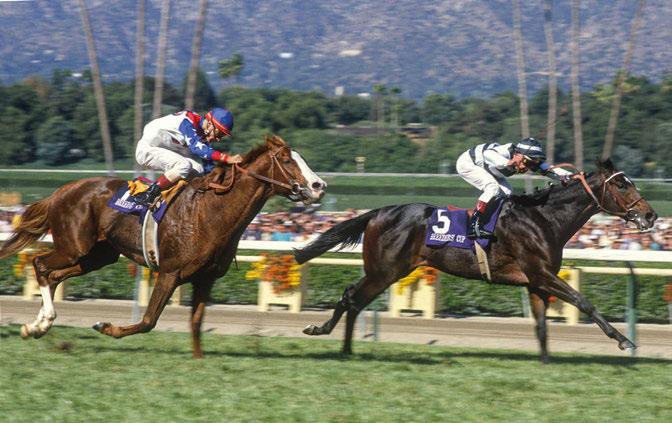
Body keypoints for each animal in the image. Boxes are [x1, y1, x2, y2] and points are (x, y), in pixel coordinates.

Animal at [0, 135, 326, 358]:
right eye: (287, 159)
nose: (319, 186)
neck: (212, 211)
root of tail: (60, 192)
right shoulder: (169, 273)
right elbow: (148, 320)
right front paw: (105, 327)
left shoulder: (205, 279)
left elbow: (196, 322)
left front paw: (199, 359)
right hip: (74, 247)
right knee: (40, 265)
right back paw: (41, 323)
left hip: (97, 256)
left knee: (53, 275)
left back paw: (37, 326)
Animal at [294, 159, 657, 363]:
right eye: (622, 184)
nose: (651, 215)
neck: (544, 218)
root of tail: (377, 212)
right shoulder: (541, 274)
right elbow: (585, 302)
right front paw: (624, 340)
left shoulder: (537, 282)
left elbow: (541, 325)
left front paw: (546, 362)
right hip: (385, 271)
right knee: (353, 298)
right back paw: (334, 341)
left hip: (385, 270)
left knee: (351, 298)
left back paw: (339, 344)